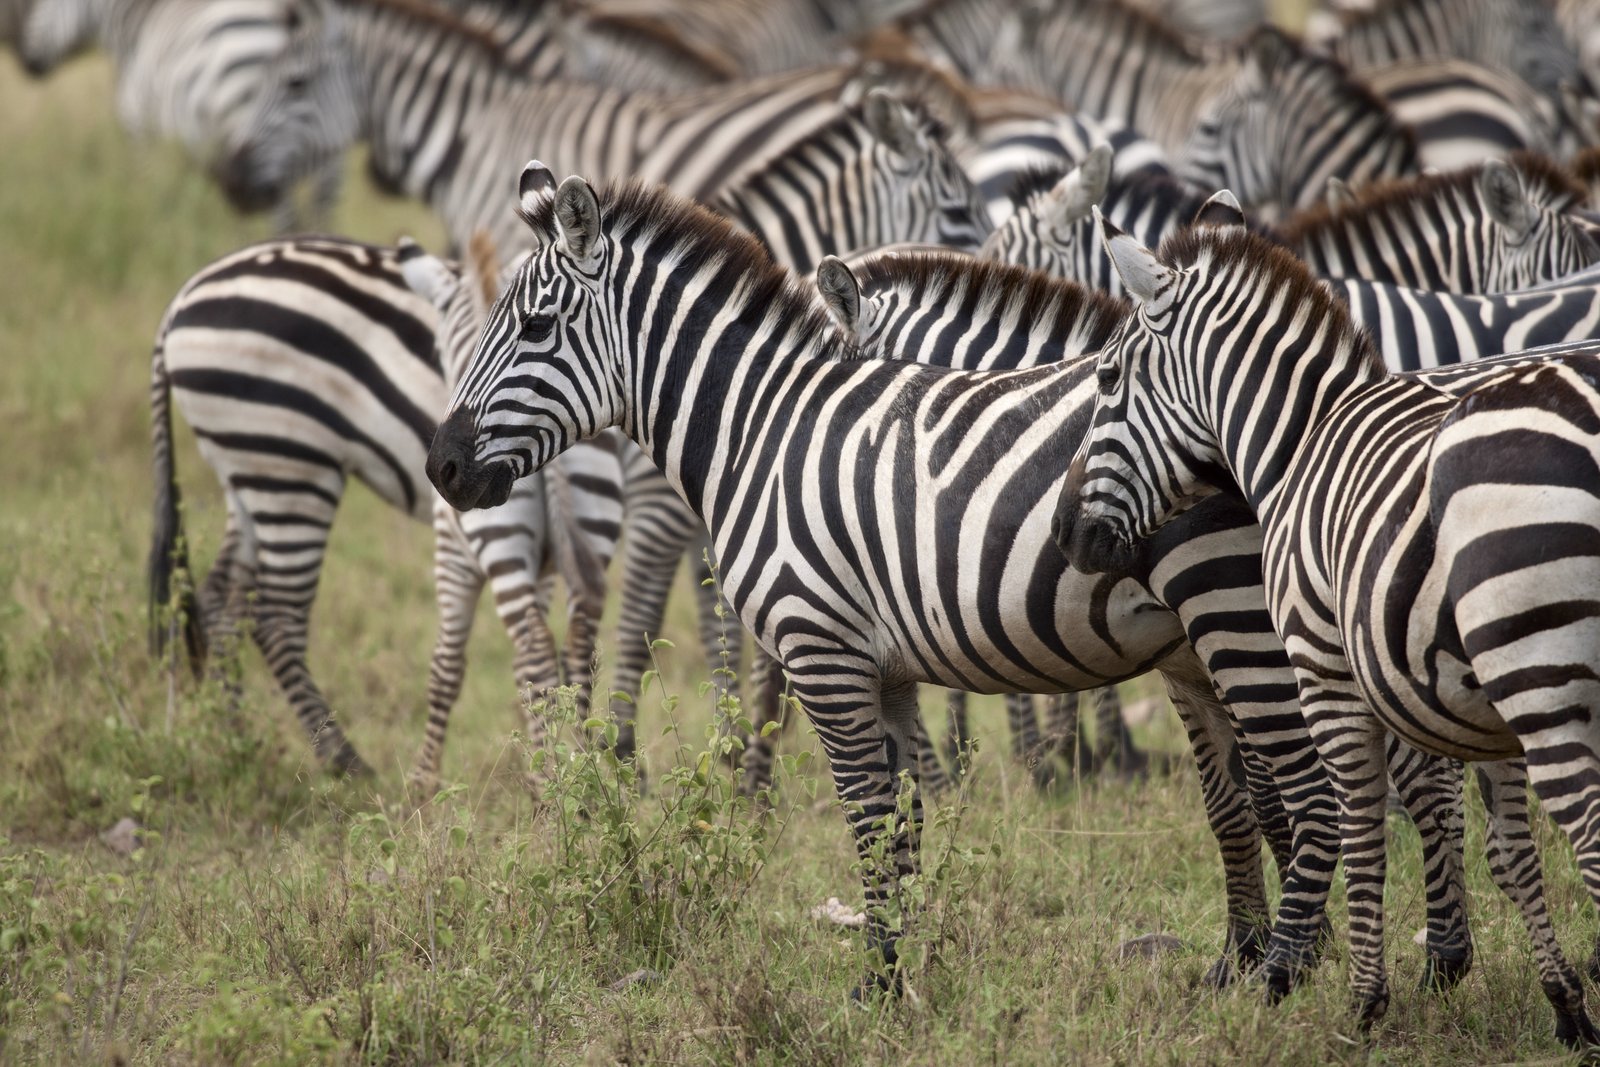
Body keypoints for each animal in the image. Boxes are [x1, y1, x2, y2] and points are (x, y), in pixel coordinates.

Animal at [147, 233, 623, 779]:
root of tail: (183, 298)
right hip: (288, 466)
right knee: (272, 614)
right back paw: (336, 761)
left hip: (255, 470)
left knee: (228, 602)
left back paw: (242, 744)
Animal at [1055, 216, 1600, 1049]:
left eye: (1108, 379)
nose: (1067, 538)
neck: (1298, 445)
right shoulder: (1472, 709)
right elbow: (1507, 847)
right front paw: (1564, 1003)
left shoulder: (1323, 670)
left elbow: (1357, 825)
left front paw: (1357, 1001)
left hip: (1545, 688)